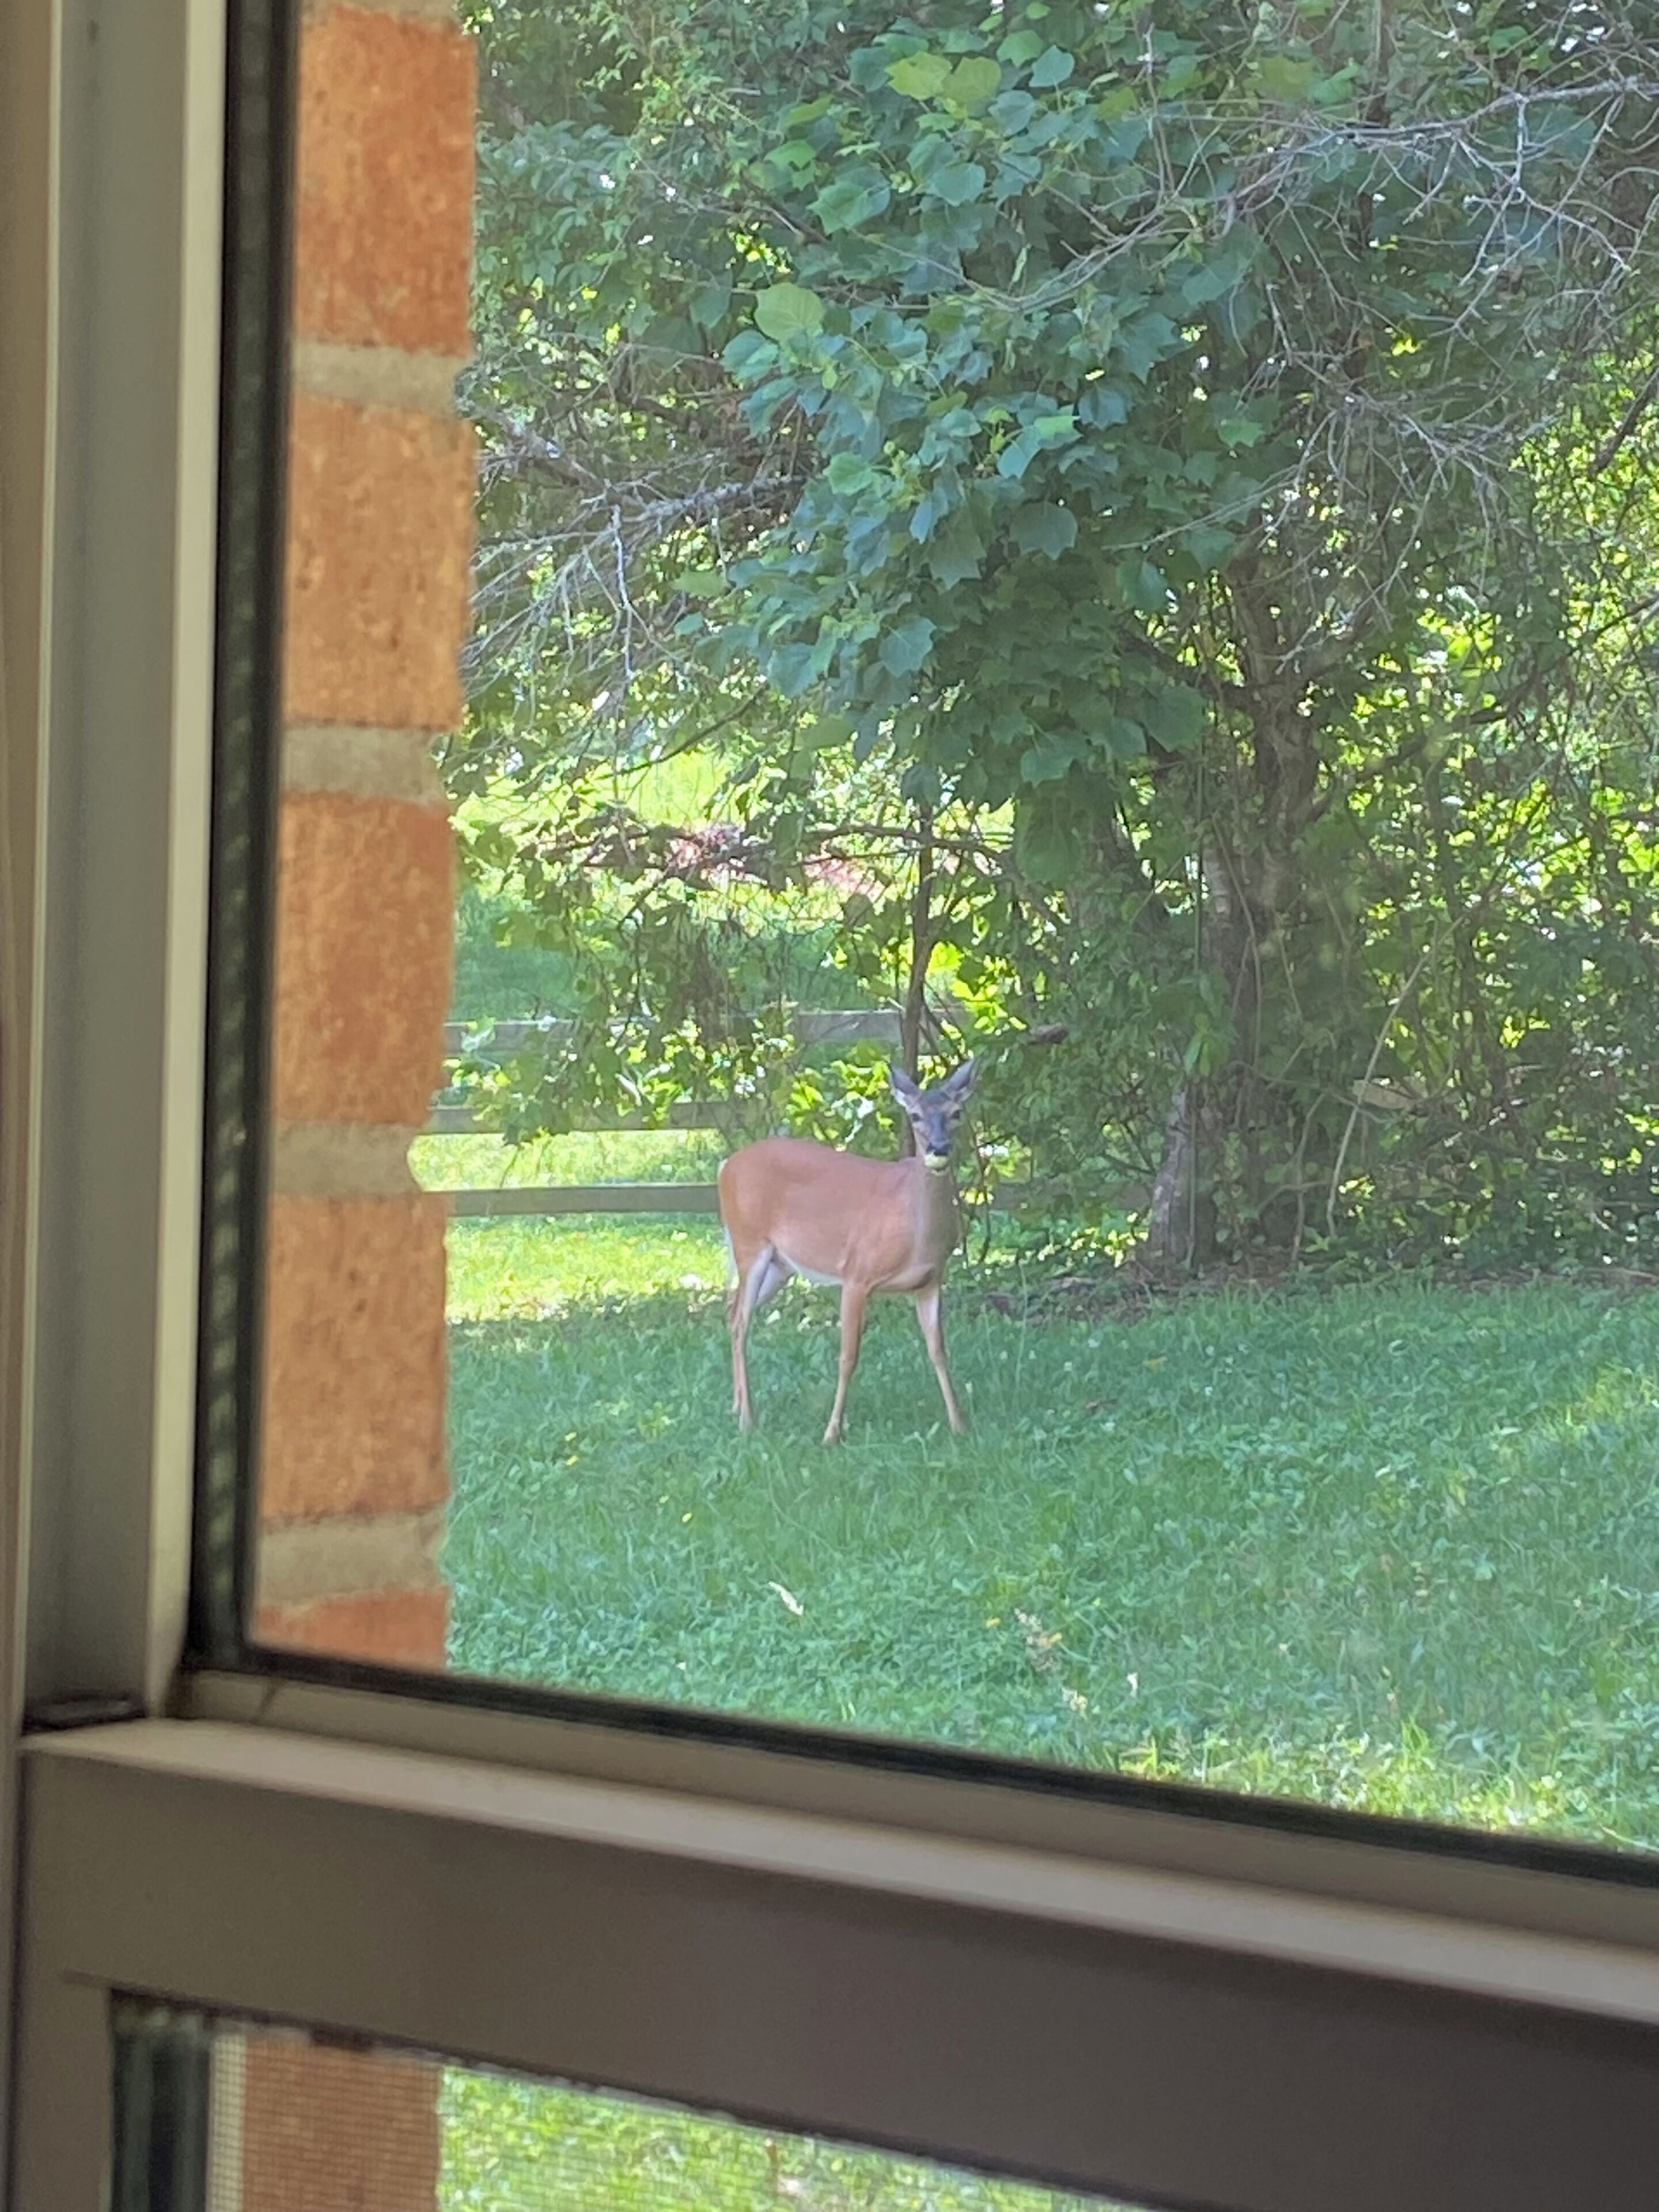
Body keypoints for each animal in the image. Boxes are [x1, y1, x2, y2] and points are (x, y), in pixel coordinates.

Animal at [718, 1060, 977, 1445]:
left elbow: (939, 1351)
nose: (939, 1148)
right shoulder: (857, 1273)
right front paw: (831, 1433)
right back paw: (748, 1419)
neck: (915, 1234)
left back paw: (735, 1407)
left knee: (732, 1311)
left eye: (956, 1113)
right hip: (750, 1243)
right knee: (741, 1322)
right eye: (915, 1115)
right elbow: (848, 1356)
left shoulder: (930, 1281)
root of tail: (726, 1166)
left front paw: (959, 1425)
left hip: (780, 1265)